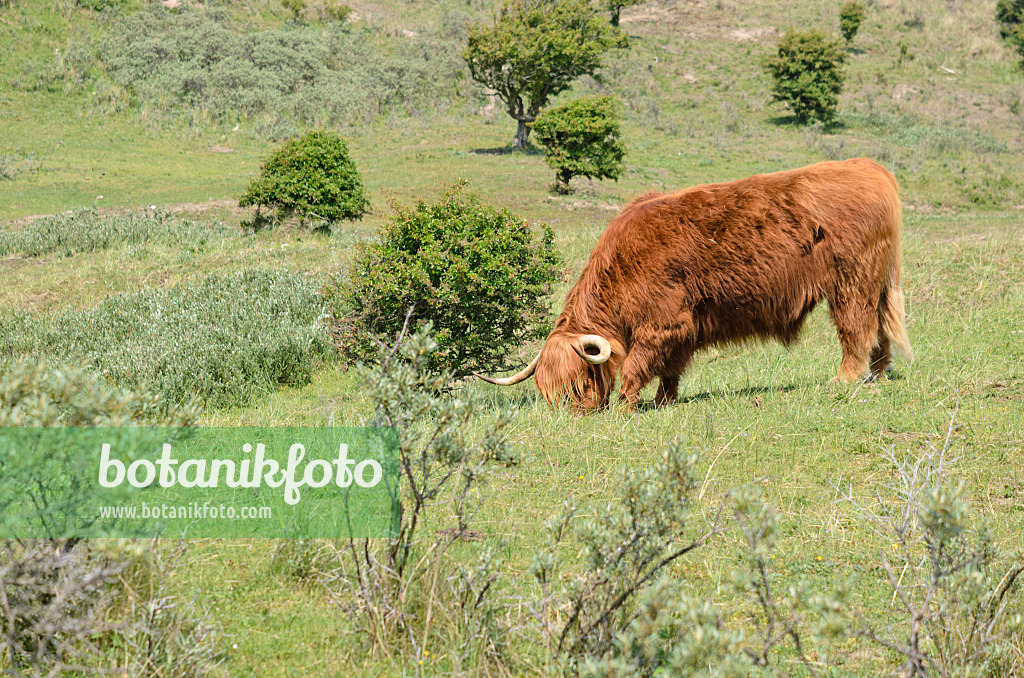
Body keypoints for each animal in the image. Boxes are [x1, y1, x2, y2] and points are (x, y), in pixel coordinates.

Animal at [473, 159, 913, 413]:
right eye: (548, 393)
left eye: (579, 382)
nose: (573, 416)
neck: (624, 264)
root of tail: (870, 167)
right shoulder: (682, 328)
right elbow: (670, 368)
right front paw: (663, 401)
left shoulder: (663, 323)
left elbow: (636, 365)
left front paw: (626, 406)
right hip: (875, 283)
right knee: (880, 330)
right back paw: (878, 374)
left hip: (851, 282)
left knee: (856, 328)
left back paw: (846, 378)